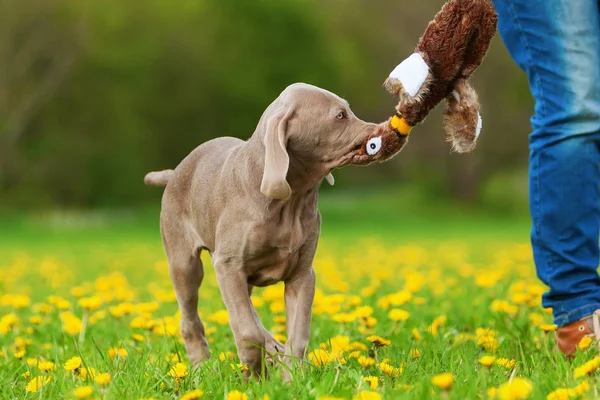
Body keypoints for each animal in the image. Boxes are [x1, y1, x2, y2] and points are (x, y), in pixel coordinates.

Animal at [144, 83, 404, 380]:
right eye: (340, 115)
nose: (385, 131)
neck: (291, 200)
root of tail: (175, 172)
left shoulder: (302, 274)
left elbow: (296, 335)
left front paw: (290, 379)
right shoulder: (228, 266)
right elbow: (249, 330)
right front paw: (261, 365)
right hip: (184, 264)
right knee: (193, 320)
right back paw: (204, 369)